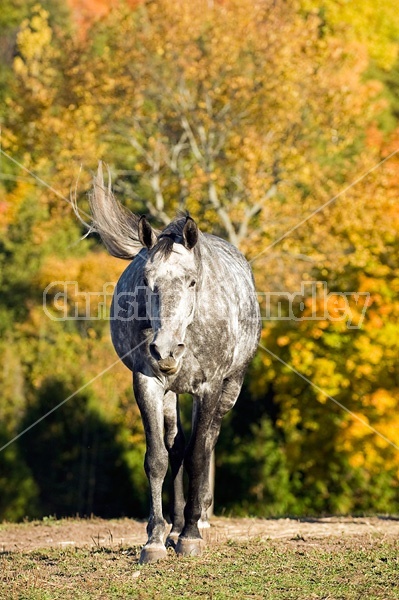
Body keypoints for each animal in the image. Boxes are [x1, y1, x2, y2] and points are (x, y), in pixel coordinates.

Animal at [80, 163, 262, 564]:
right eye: (148, 282)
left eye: (192, 282)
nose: (165, 351)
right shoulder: (147, 383)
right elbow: (158, 459)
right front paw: (154, 538)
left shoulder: (209, 387)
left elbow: (197, 455)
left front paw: (191, 535)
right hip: (172, 393)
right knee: (175, 446)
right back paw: (175, 525)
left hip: (230, 388)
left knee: (207, 441)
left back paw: (198, 521)